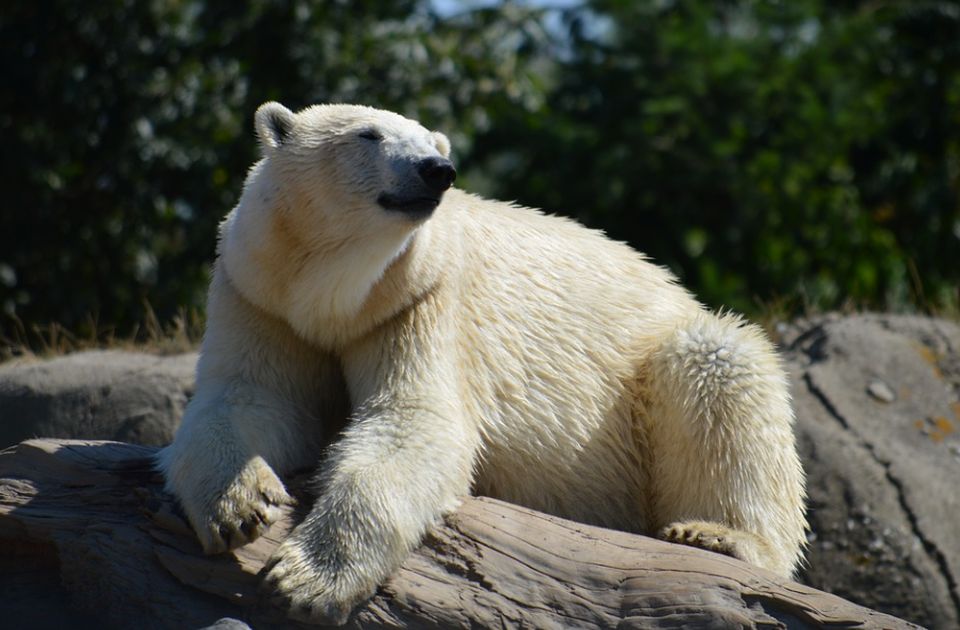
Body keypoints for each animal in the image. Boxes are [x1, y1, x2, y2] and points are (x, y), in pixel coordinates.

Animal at [158, 101, 804, 624]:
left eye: (432, 141)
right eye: (369, 134)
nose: (434, 170)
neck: (334, 292)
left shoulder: (419, 298)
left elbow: (414, 421)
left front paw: (307, 580)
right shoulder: (262, 294)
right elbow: (251, 397)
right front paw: (238, 507)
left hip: (659, 367)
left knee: (718, 366)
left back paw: (717, 535)